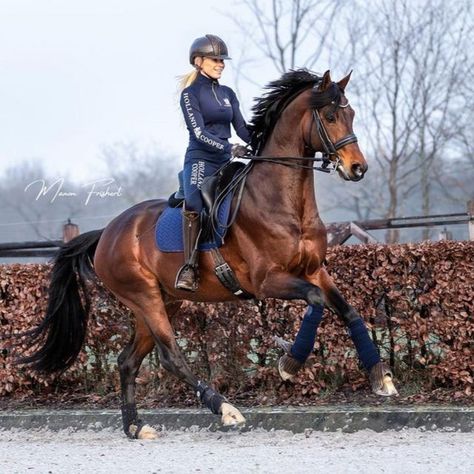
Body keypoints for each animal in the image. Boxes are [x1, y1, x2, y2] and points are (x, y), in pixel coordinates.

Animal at [20, 70, 398, 440]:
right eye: (331, 116)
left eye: (352, 114)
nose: (358, 168)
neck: (287, 204)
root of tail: (107, 234)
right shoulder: (268, 281)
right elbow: (316, 300)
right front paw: (289, 365)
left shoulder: (315, 270)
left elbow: (349, 311)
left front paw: (381, 377)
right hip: (144, 298)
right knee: (171, 356)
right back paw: (226, 409)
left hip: (161, 301)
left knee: (127, 360)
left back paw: (135, 426)